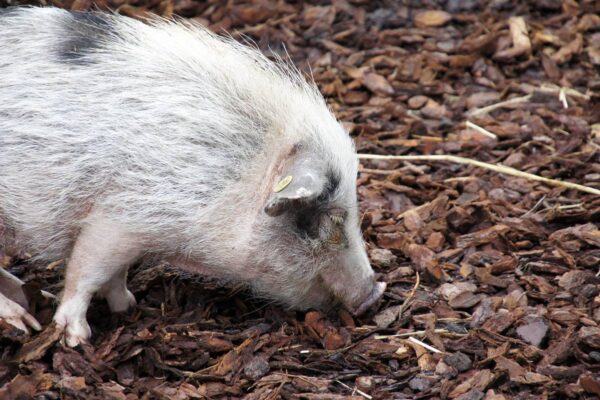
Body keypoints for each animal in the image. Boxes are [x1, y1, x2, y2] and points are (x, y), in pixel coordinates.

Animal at [0, 7, 386, 346]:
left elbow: (114, 273)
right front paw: (76, 339)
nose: (374, 295)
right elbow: (87, 270)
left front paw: (128, 306)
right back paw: (24, 322)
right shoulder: (117, 217)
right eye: (325, 221)